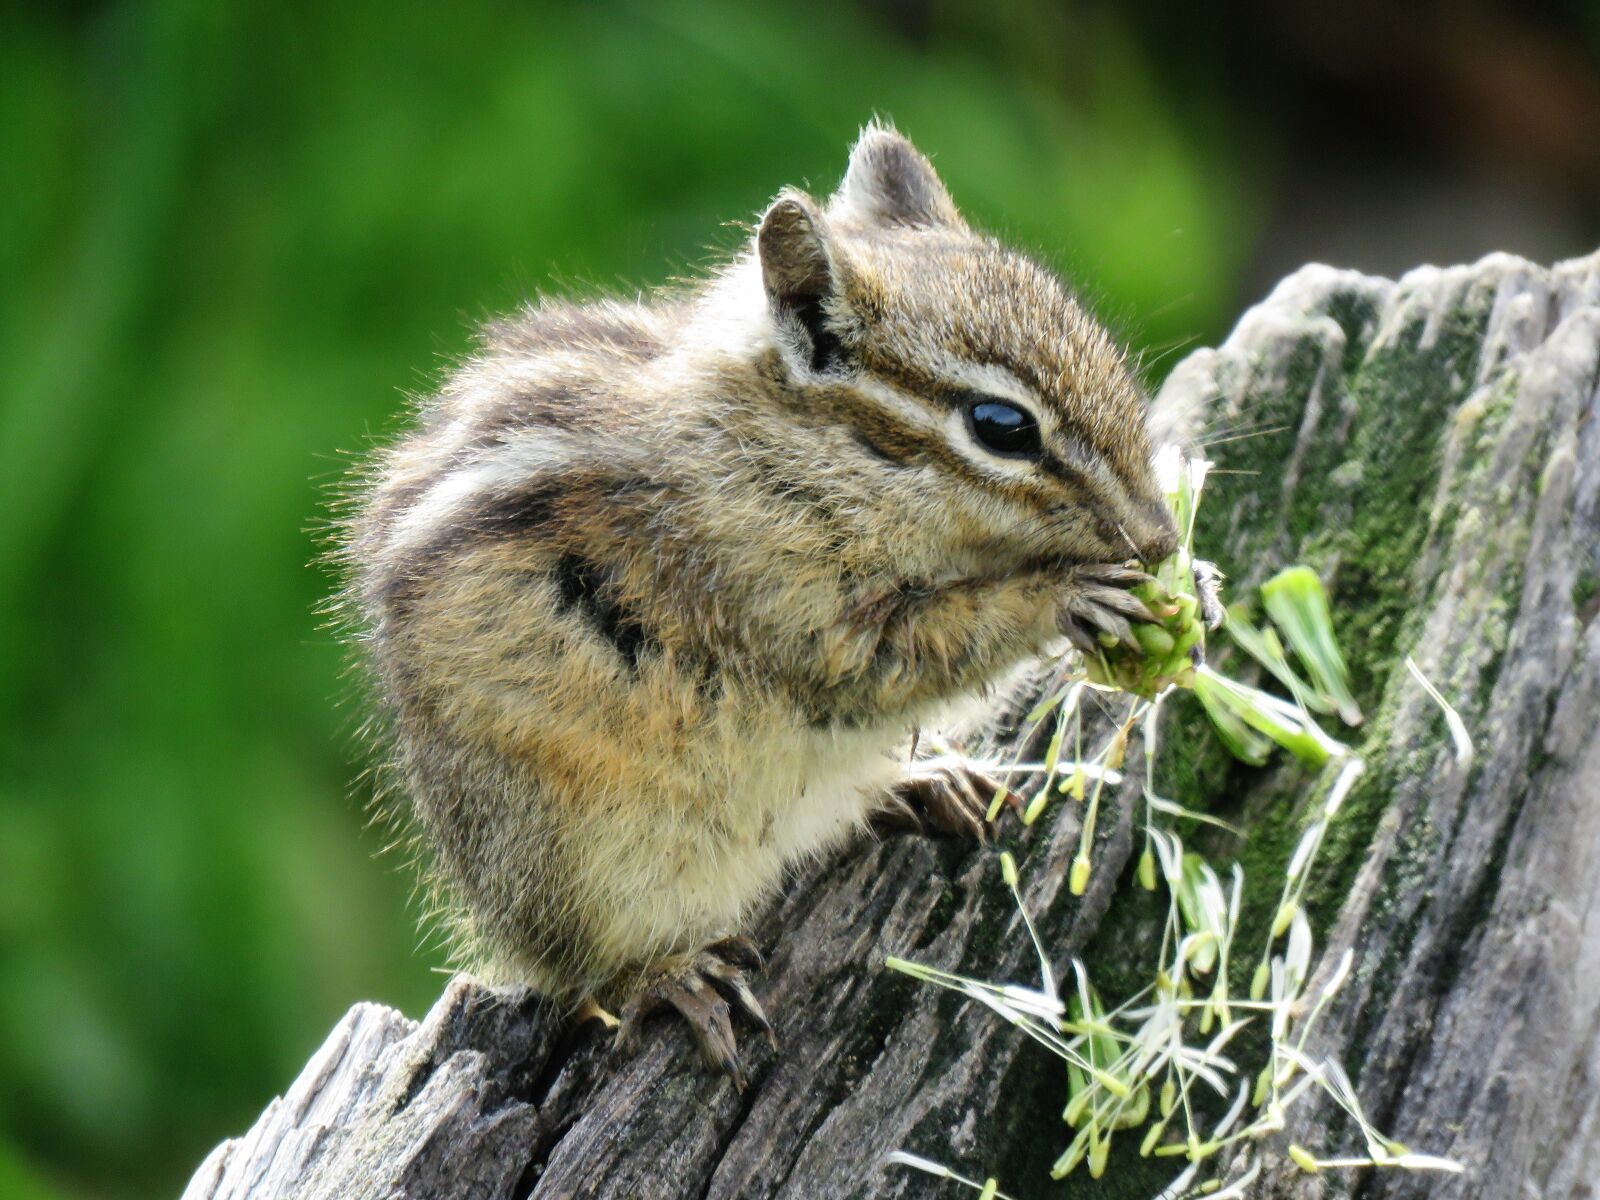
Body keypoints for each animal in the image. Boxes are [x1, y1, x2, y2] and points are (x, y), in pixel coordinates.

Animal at [339, 123, 1178, 1087]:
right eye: (1002, 427)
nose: (1160, 538)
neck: (794, 448)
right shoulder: (787, 603)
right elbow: (912, 654)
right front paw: (1071, 595)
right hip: (577, 861)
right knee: (588, 975)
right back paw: (670, 978)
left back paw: (921, 783)